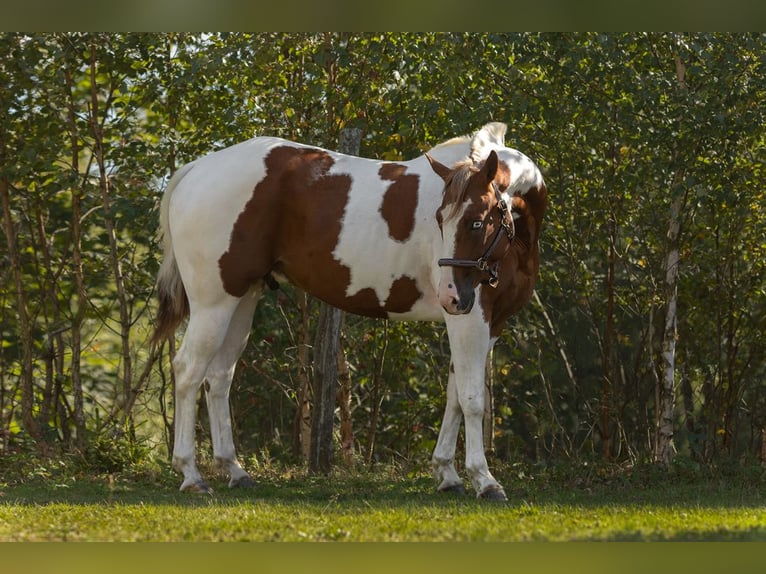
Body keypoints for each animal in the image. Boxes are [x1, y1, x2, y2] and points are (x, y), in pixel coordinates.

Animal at [153, 122, 547, 499]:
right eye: (440, 218)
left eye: (477, 221)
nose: (449, 295)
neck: (515, 240)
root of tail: (196, 169)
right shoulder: (469, 319)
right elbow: (472, 400)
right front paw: (485, 480)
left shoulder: (490, 323)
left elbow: (454, 396)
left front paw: (448, 475)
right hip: (213, 303)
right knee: (188, 371)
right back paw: (191, 475)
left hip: (242, 297)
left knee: (219, 376)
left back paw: (234, 470)